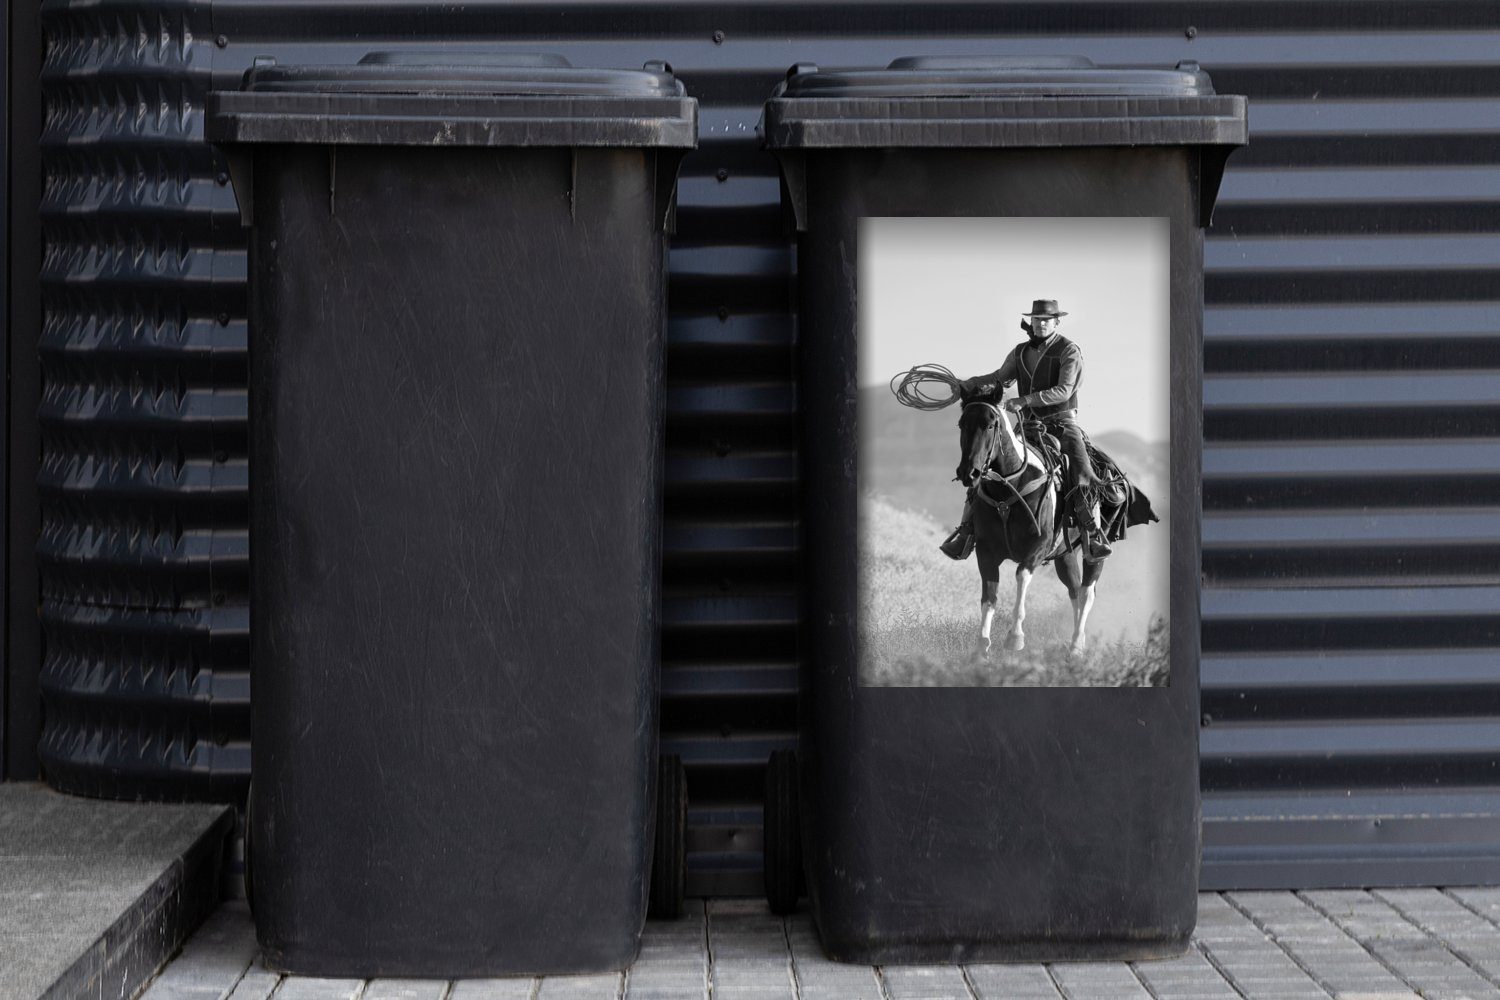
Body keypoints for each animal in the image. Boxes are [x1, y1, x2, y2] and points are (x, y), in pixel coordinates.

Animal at [960, 389, 1104, 656]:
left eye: (990, 425)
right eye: (961, 424)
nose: (969, 473)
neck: (1009, 488)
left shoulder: (1038, 546)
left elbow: (1021, 576)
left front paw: (1015, 637)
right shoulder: (986, 552)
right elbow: (989, 596)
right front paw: (981, 645)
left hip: (1094, 552)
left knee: (1086, 592)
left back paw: (1077, 645)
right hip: (1065, 555)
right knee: (1074, 590)